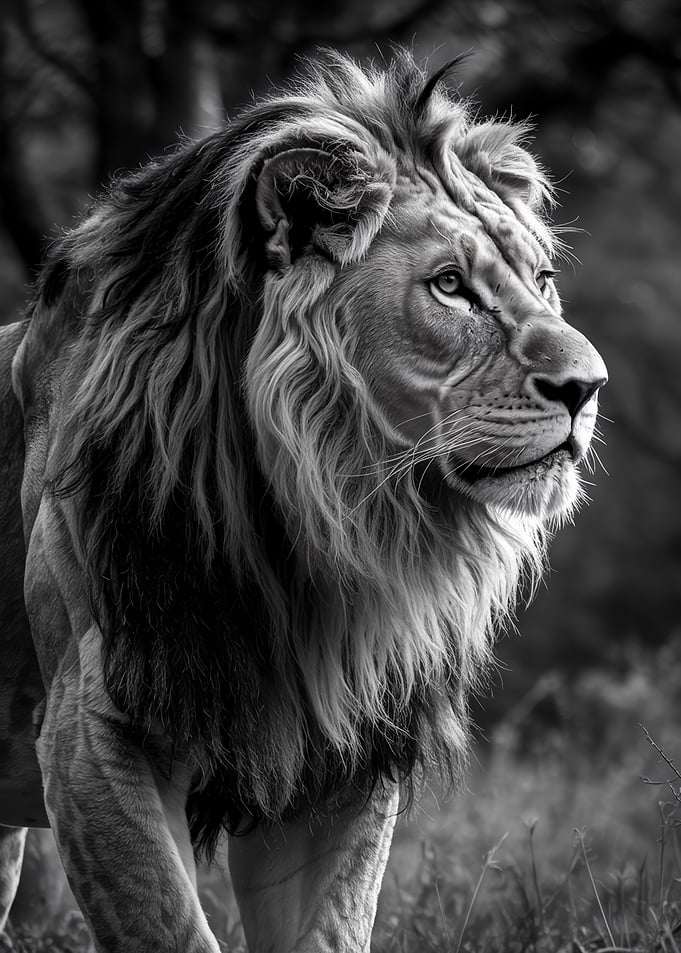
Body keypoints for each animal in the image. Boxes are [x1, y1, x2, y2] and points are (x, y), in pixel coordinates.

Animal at [0, 50, 606, 949]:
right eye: (450, 286)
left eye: (541, 278)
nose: (587, 387)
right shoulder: (91, 740)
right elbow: (172, 927)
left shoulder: (341, 757)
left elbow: (329, 929)